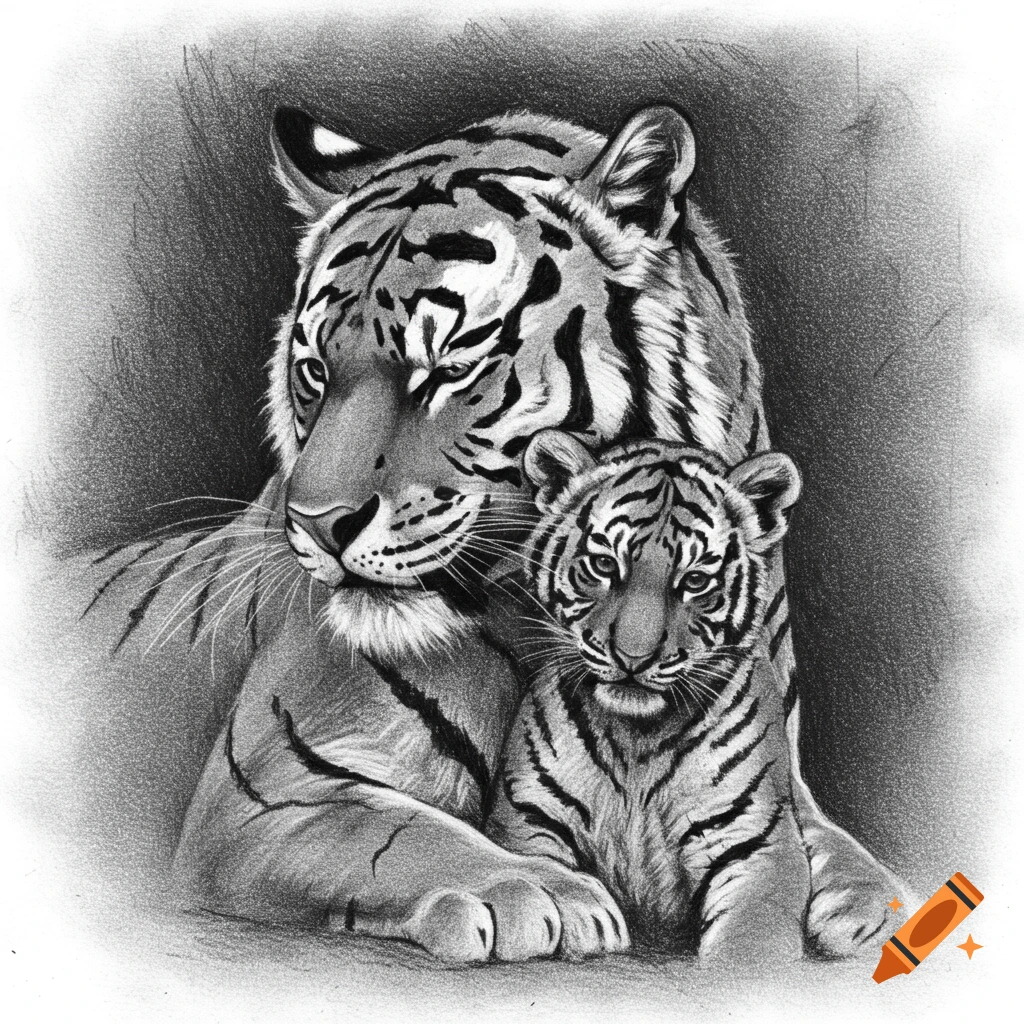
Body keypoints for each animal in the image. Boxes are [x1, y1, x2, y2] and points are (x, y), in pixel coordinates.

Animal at [488, 430, 856, 958]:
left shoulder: (755, 845)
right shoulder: (526, 818)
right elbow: (545, 871)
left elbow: (750, 947)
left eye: (695, 580)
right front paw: (582, 914)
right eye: (604, 564)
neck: (636, 743)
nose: (633, 657)